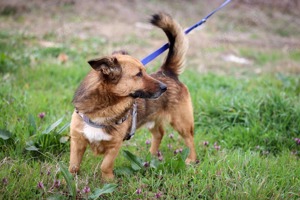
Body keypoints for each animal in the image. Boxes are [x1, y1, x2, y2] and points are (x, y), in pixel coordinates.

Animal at [69, 12, 196, 180]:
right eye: (139, 74)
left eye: (145, 72)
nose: (164, 88)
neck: (103, 108)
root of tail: (167, 72)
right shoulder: (77, 141)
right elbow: (73, 166)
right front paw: (70, 181)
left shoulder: (114, 146)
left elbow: (105, 166)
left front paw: (108, 181)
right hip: (153, 120)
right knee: (159, 134)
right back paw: (151, 156)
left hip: (181, 122)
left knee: (190, 139)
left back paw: (191, 160)